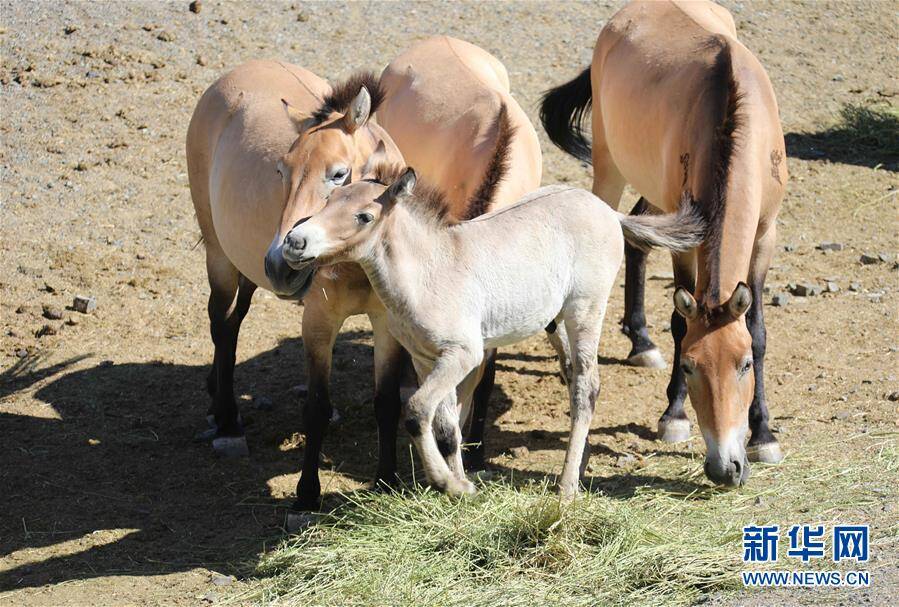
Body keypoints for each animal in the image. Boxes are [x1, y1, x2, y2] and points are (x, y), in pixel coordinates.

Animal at [280, 167, 704, 498]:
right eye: (328, 200)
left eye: (364, 216)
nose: (294, 242)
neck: (429, 271)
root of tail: (607, 210)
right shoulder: (423, 357)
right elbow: (447, 426)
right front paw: (464, 486)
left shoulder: (462, 353)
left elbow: (416, 411)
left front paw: (449, 484)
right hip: (557, 318)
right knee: (571, 377)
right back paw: (577, 470)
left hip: (586, 308)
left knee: (587, 386)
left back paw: (567, 486)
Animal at [540, 0, 788, 486]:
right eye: (690, 365)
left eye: (745, 364)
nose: (724, 468)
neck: (731, 112)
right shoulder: (688, 241)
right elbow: (679, 320)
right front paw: (674, 416)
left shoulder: (765, 234)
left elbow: (758, 328)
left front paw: (764, 434)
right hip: (610, 170)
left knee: (637, 238)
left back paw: (640, 341)